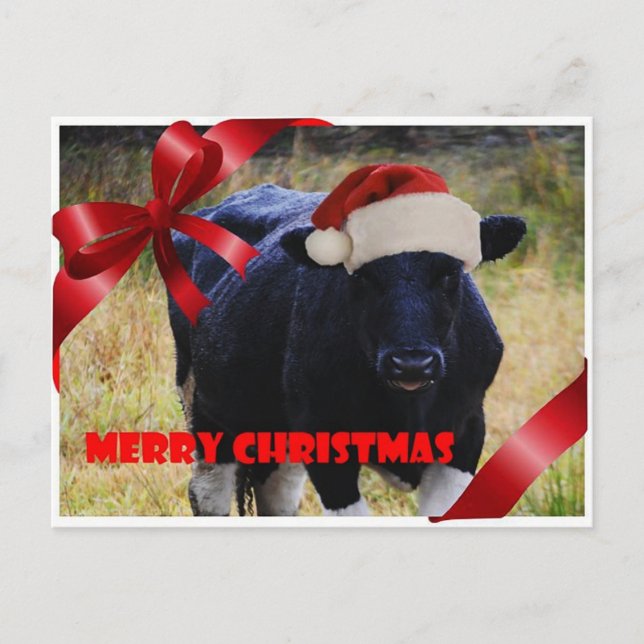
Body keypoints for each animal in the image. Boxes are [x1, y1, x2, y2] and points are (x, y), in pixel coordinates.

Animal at [169, 176, 526, 516]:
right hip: (203, 405)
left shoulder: (467, 430)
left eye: (451, 272)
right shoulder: (323, 439)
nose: (411, 363)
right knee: (208, 492)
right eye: (361, 274)